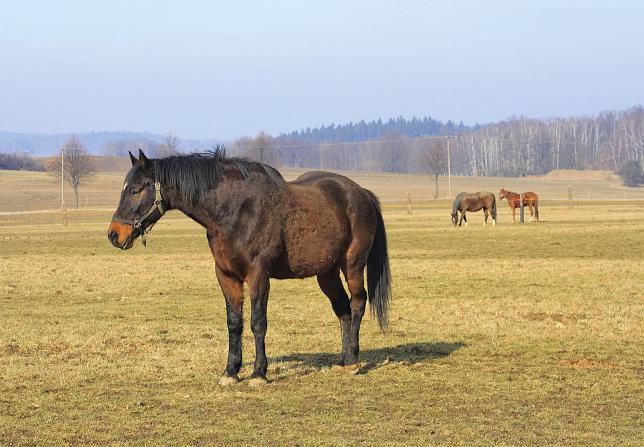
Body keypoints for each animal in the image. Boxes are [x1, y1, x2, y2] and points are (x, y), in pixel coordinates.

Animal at [107, 149, 390, 386]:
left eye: (135, 190)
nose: (114, 235)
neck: (234, 209)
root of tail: (361, 193)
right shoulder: (226, 276)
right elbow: (234, 323)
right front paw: (231, 371)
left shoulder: (258, 275)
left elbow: (257, 322)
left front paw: (258, 373)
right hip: (326, 273)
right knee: (342, 309)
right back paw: (342, 361)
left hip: (352, 263)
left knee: (357, 303)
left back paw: (353, 360)